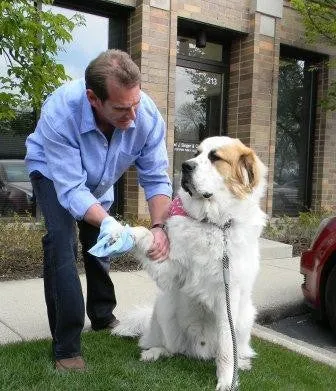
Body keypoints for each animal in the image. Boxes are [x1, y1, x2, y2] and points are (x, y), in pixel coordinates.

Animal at [111, 136, 266, 390]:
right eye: (196, 153)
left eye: (215, 157)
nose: (185, 166)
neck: (213, 223)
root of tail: (199, 351)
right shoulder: (169, 271)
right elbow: (146, 234)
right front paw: (119, 232)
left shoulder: (228, 295)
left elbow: (227, 346)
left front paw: (227, 380)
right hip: (163, 308)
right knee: (171, 349)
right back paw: (154, 352)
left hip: (245, 317)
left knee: (237, 349)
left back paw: (241, 363)